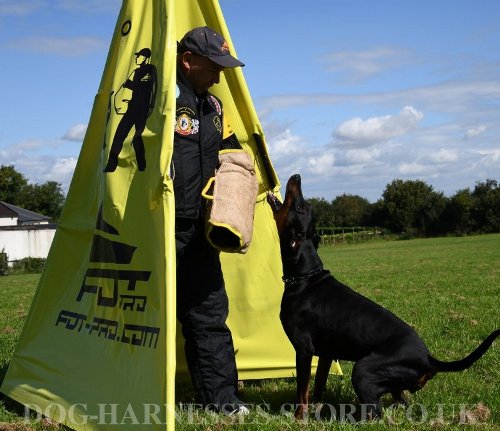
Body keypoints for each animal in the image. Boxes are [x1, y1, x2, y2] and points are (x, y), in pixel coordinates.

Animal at [268, 174, 498, 420]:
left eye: (301, 206)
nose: (297, 177)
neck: (306, 278)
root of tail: (428, 359)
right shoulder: (327, 354)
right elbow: (318, 386)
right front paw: (317, 411)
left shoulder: (304, 350)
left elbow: (302, 392)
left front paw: (299, 419)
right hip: (390, 383)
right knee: (399, 403)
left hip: (362, 371)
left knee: (374, 412)